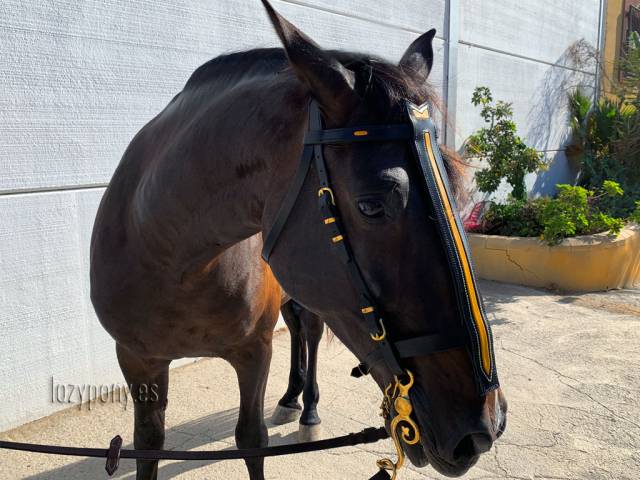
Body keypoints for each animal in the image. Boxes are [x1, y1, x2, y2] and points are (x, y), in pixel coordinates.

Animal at [90, 2, 507, 479]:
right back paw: (291, 398)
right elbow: (148, 444)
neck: (171, 257)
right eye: (371, 205)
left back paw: (307, 410)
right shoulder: (137, 360)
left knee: (308, 329)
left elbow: (252, 440)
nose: (485, 426)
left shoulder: (253, 351)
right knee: (296, 328)